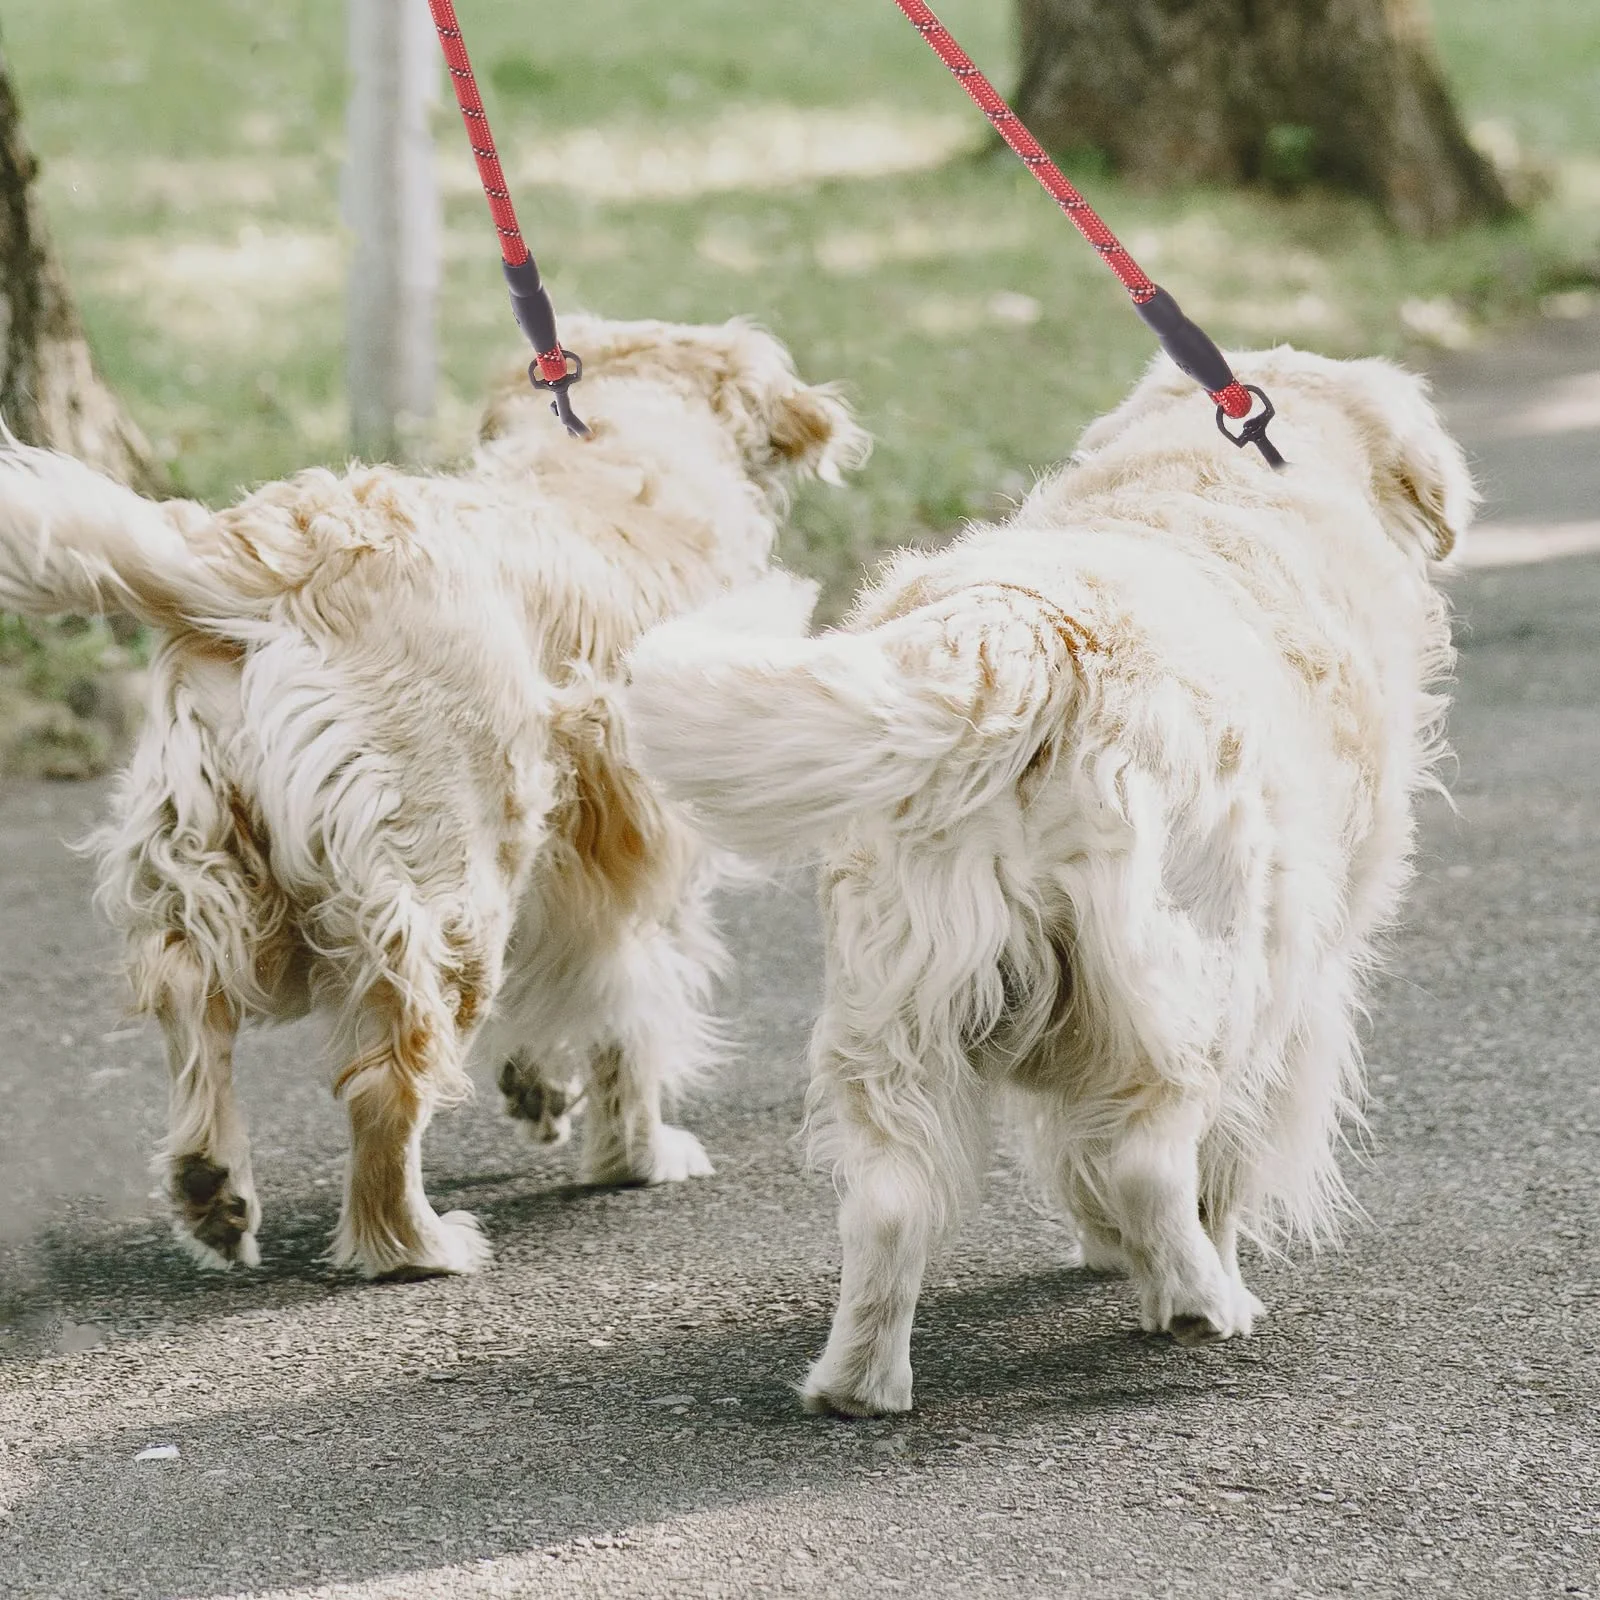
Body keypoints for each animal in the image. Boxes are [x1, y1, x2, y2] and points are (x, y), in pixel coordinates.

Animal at [0, 318, 870, 1280]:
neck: (619, 453)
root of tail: (279, 557)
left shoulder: (576, 867)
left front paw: (542, 1089)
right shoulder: (642, 863)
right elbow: (630, 1014)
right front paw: (636, 1153)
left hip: (206, 850)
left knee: (191, 993)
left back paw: (212, 1188)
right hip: (450, 891)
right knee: (387, 1084)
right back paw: (417, 1242)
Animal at [624, 350, 1472, 1414]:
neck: (1214, 475)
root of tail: (1029, 633)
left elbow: (1076, 1152)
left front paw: (1108, 1249)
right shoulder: (1299, 981)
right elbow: (1215, 1166)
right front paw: (1190, 1260)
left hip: (895, 995)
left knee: (892, 1201)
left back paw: (858, 1382)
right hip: (1203, 969)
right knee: (1153, 1155)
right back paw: (1201, 1303)